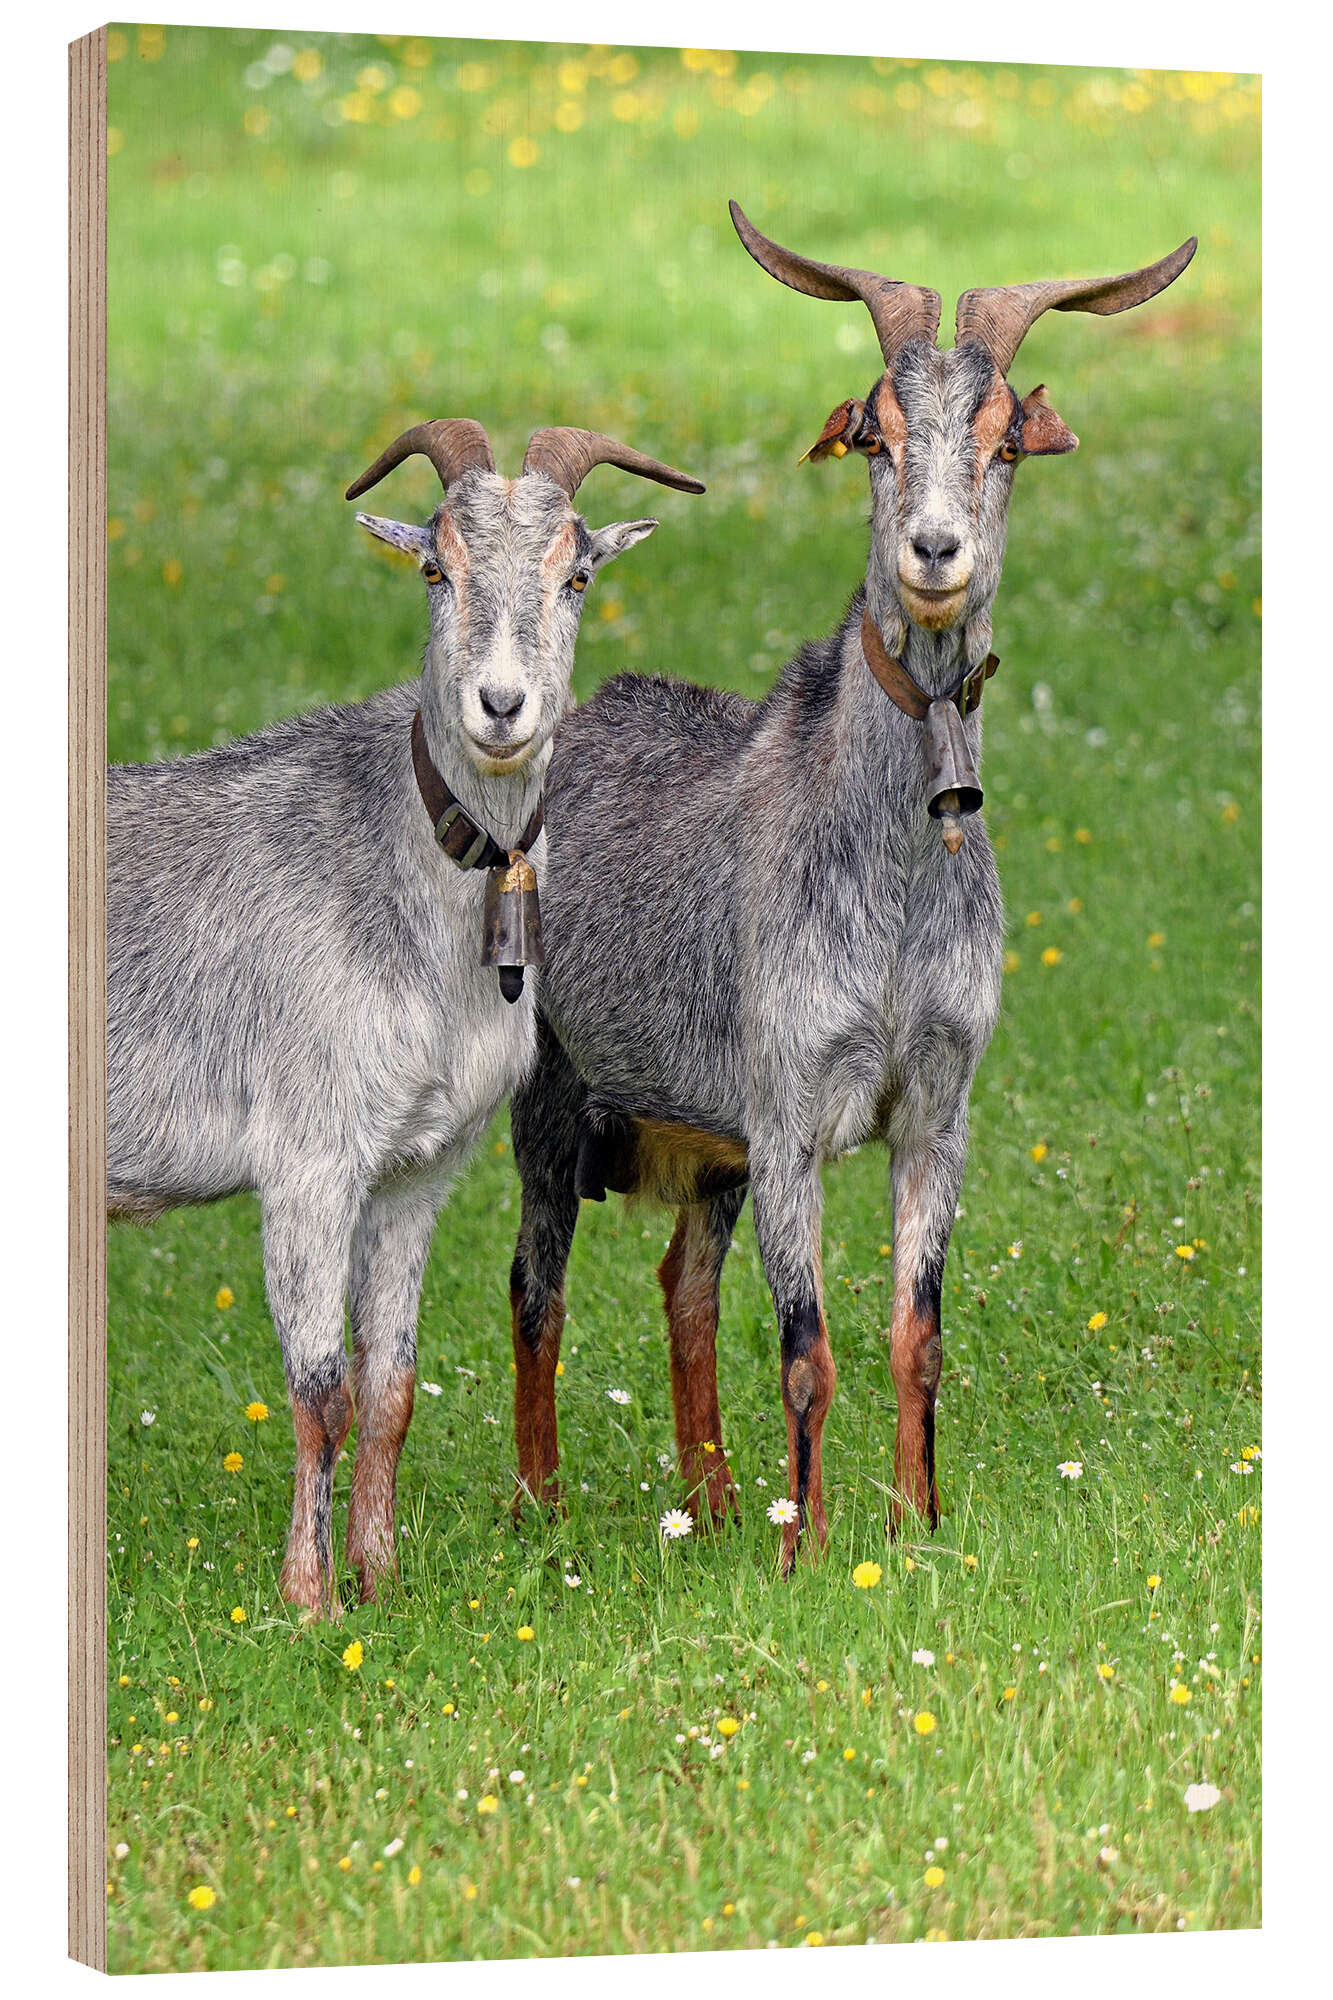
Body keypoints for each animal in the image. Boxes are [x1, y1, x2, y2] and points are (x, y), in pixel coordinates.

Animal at [107, 417, 703, 1616]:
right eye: (436, 569)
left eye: (575, 574)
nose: (501, 706)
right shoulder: (307, 1160)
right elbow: (319, 1389)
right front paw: (308, 1600)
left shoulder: (417, 1167)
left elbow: (392, 1381)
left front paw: (381, 1582)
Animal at [504, 207, 1195, 1571]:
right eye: (873, 432)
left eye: (1004, 442)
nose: (934, 550)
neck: (889, 891)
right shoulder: (787, 1108)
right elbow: (807, 1347)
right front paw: (810, 1551)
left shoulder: (935, 1104)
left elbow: (913, 1334)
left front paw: (915, 1525)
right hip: (552, 1094)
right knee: (534, 1288)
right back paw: (545, 1508)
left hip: (704, 1139)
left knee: (682, 1282)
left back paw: (715, 1500)